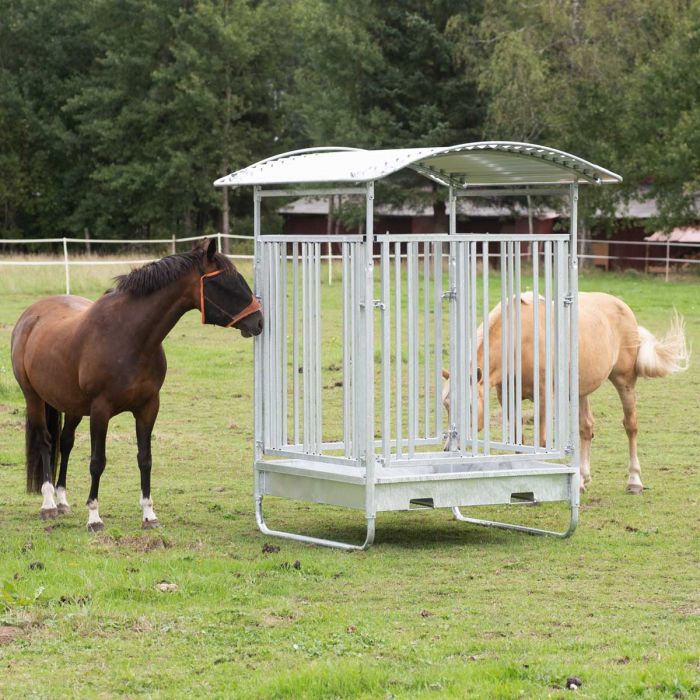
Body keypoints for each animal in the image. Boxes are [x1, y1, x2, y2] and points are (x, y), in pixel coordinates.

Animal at [10, 239, 262, 532]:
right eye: (225, 282)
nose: (259, 321)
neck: (130, 336)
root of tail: (31, 315)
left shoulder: (148, 406)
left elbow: (145, 458)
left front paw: (149, 515)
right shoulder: (100, 410)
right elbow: (97, 461)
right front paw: (94, 517)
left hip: (72, 405)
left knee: (66, 442)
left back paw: (62, 501)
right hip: (33, 398)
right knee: (46, 442)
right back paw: (49, 504)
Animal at [442, 292, 688, 494]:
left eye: (469, 406)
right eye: (446, 406)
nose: (449, 449)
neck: (519, 341)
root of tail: (622, 307)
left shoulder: (544, 398)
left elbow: (541, 443)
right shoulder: (508, 399)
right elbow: (519, 442)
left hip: (625, 382)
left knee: (631, 426)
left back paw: (634, 481)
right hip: (580, 391)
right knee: (587, 428)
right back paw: (582, 480)